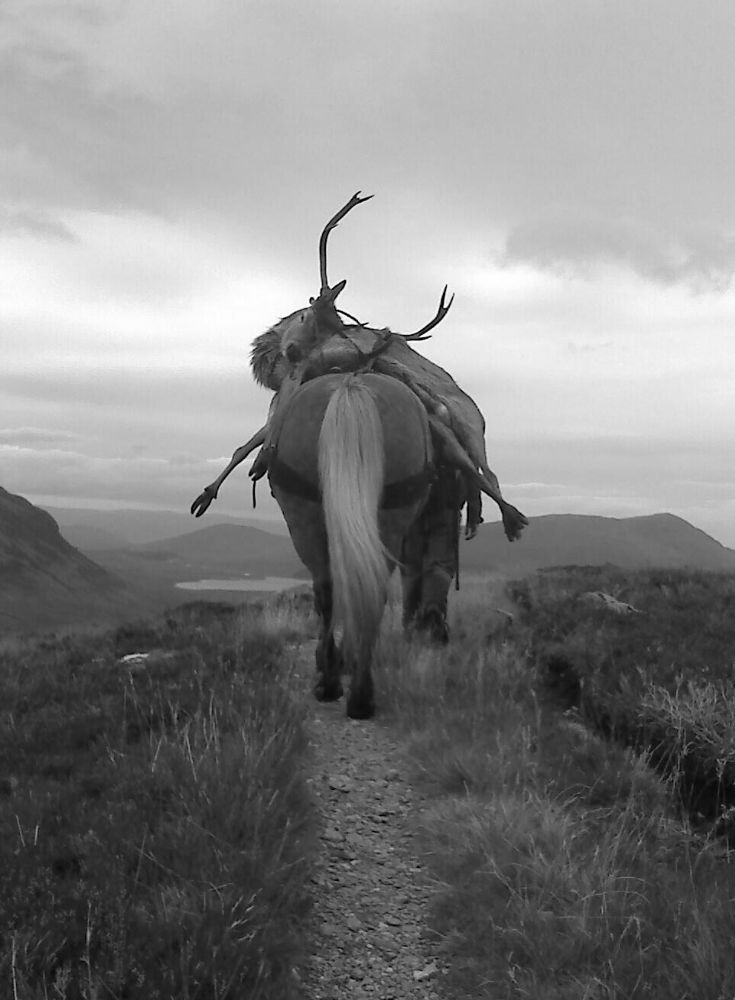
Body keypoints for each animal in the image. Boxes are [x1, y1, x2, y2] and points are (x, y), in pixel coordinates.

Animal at [268, 372, 432, 716]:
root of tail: (350, 386)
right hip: (387, 520)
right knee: (367, 592)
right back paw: (360, 694)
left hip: (304, 523)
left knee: (327, 592)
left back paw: (332, 683)